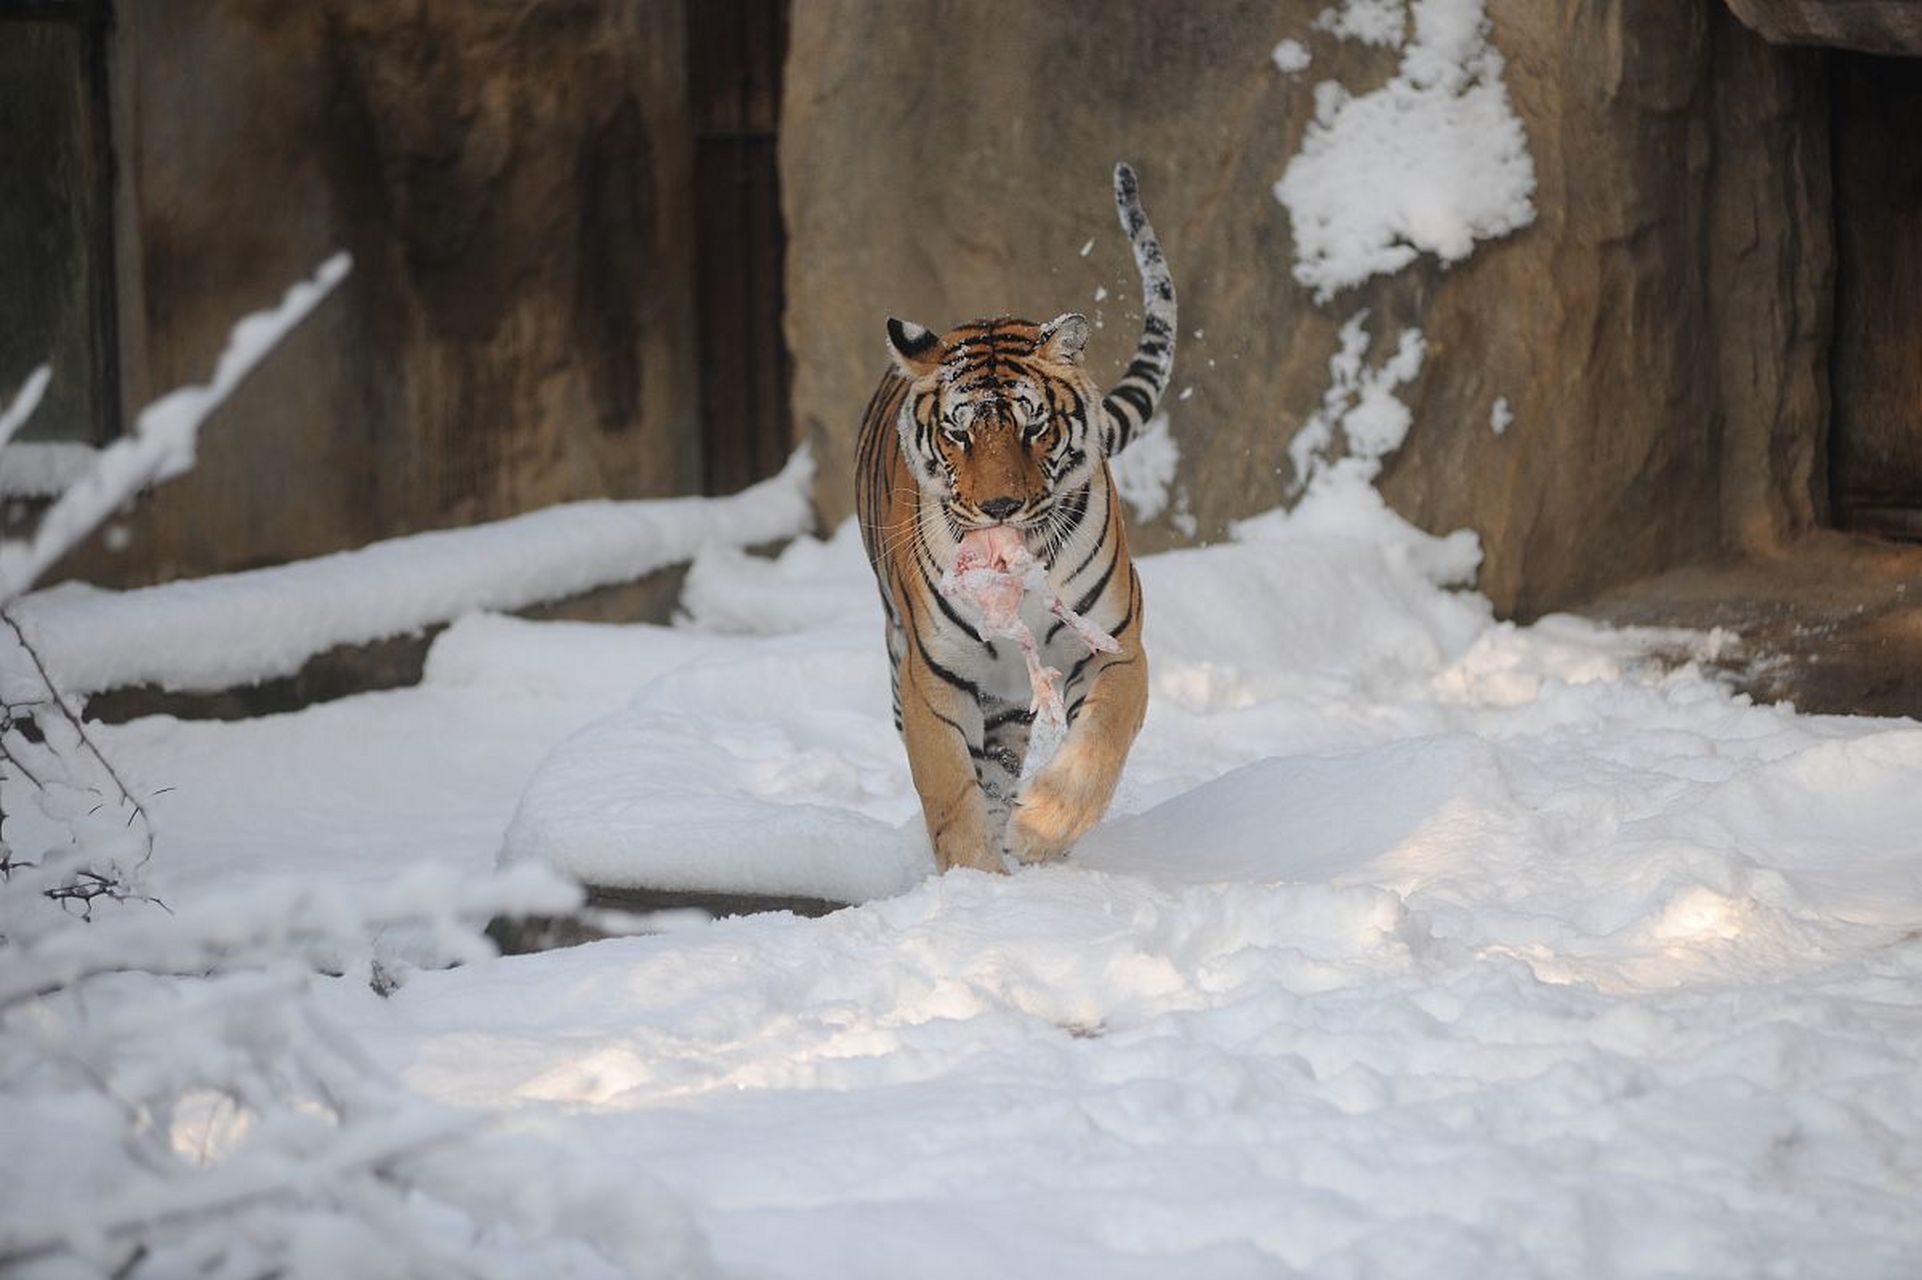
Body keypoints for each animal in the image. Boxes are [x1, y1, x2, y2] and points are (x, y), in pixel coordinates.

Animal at [857, 164, 1168, 872]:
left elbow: (1097, 748)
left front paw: (1040, 830)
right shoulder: (933, 677)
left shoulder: (1115, 646)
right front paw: (975, 881)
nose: (1001, 507)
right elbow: (950, 793)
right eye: (958, 433)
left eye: (1033, 426)